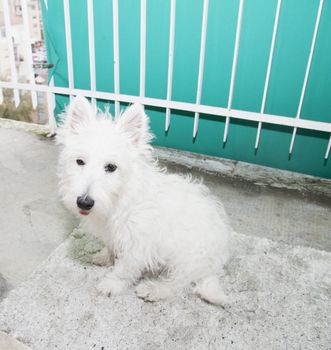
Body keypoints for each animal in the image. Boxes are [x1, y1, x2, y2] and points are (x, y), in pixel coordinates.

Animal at [57, 97, 231, 304]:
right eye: (80, 161)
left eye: (111, 167)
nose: (84, 202)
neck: (120, 199)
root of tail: (213, 267)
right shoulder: (114, 234)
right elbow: (111, 246)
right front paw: (104, 256)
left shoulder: (139, 242)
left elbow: (125, 268)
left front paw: (112, 284)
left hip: (188, 256)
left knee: (180, 282)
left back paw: (155, 290)